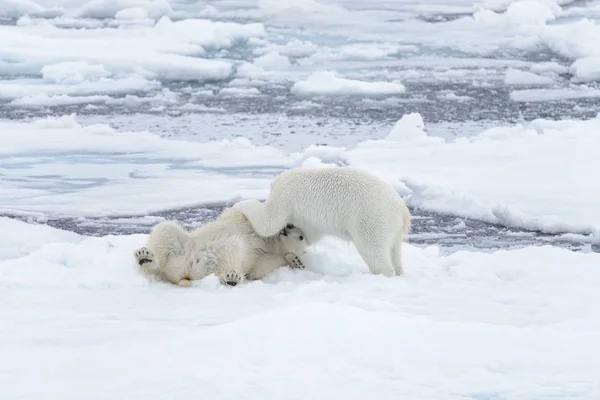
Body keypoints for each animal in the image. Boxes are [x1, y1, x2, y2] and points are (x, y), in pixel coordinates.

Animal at [132, 206, 310, 288]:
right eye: (294, 227)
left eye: (301, 236)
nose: (288, 227)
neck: (272, 244)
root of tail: (187, 271)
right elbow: (238, 215)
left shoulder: (266, 258)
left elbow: (260, 269)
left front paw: (296, 261)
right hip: (183, 246)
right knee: (165, 230)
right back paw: (145, 256)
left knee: (233, 248)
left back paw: (231, 278)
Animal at [232, 167, 410, 276]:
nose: (288, 228)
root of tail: (403, 210)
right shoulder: (310, 222)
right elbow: (309, 236)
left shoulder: (285, 195)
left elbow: (268, 222)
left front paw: (238, 205)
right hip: (392, 229)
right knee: (394, 251)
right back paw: (399, 271)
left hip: (371, 219)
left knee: (373, 250)